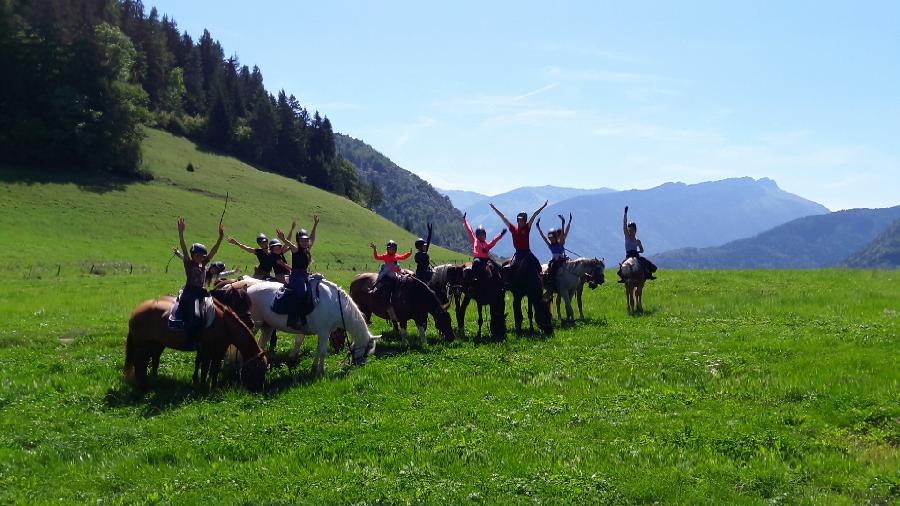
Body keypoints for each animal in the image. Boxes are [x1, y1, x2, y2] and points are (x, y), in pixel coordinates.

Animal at [125, 298, 268, 394]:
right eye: (259, 369)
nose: (258, 390)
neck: (225, 325)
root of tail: (135, 313)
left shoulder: (212, 351)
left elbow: (207, 368)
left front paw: (204, 384)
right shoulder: (213, 350)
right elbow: (209, 369)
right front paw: (208, 387)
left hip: (153, 345)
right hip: (144, 347)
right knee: (140, 365)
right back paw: (144, 387)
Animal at [241, 276, 378, 376]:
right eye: (367, 351)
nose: (360, 365)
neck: (336, 304)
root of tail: (248, 289)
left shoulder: (323, 333)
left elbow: (317, 350)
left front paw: (314, 367)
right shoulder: (324, 332)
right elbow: (322, 351)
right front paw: (321, 371)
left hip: (267, 327)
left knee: (261, 344)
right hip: (254, 326)